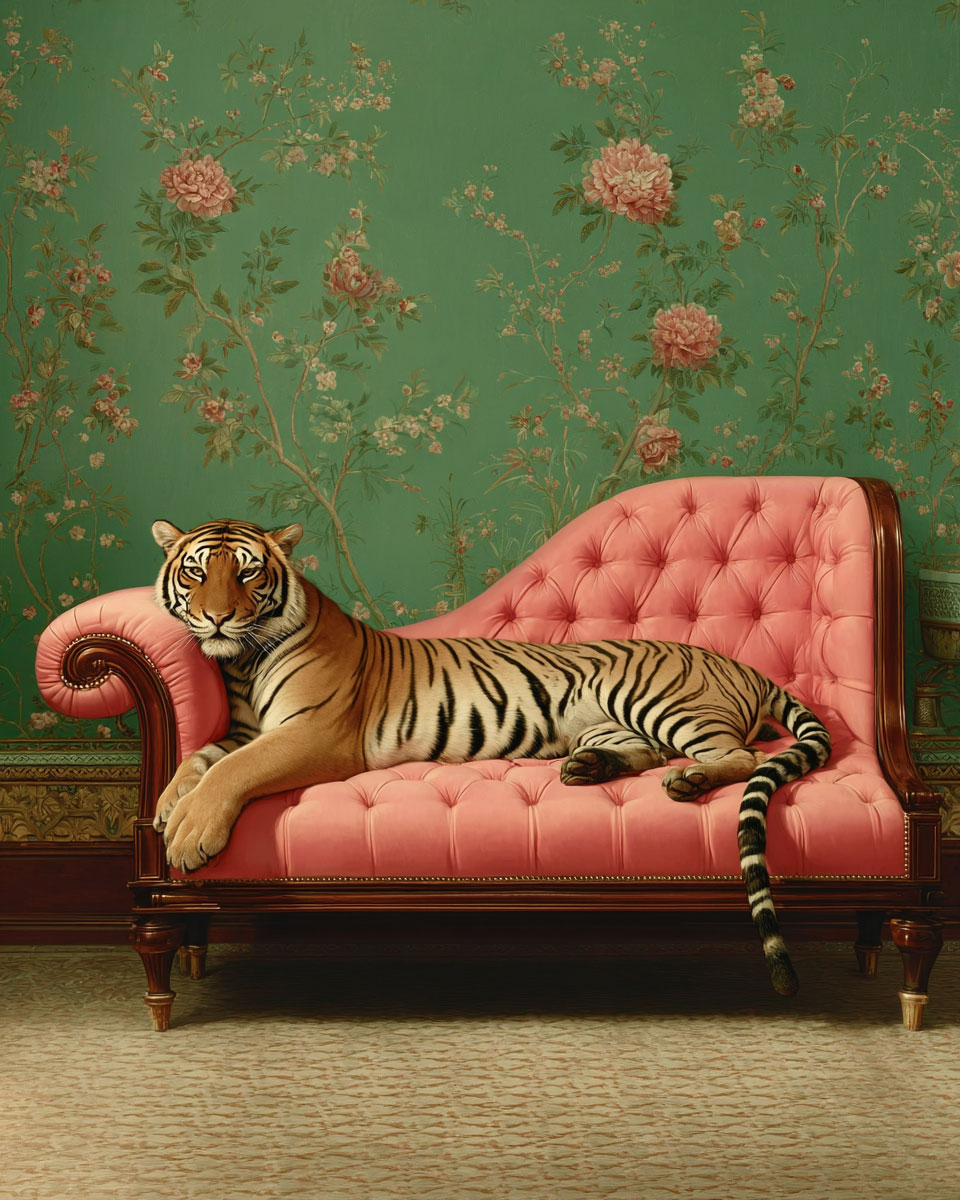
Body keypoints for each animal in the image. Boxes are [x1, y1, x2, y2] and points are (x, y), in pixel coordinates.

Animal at [151, 516, 832, 997]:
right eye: (195, 573)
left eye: (247, 574)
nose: (216, 619)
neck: (241, 662)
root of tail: (741, 664)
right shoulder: (244, 730)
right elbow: (198, 760)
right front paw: (165, 807)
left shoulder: (312, 733)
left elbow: (231, 771)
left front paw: (188, 836)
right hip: (611, 725)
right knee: (642, 753)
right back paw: (589, 770)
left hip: (656, 698)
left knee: (739, 756)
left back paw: (689, 782)